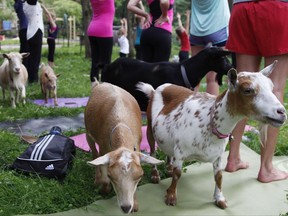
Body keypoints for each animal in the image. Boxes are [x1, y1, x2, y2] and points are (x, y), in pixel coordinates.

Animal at [84, 79, 163, 214]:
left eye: (140, 175)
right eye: (111, 175)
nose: (126, 207)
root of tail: (101, 84)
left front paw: (135, 205)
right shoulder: (104, 148)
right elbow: (104, 176)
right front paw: (104, 188)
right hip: (88, 132)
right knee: (94, 153)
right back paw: (97, 179)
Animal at [137, 60, 286, 208]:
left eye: (272, 87)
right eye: (247, 90)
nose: (282, 112)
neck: (209, 120)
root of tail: (155, 90)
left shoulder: (218, 155)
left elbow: (219, 176)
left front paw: (220, 199)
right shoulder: (180, 151)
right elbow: (177, 174)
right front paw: (171, 197)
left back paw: (168, 168)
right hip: (150, 127)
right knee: (152, 152)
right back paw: (155, 175)